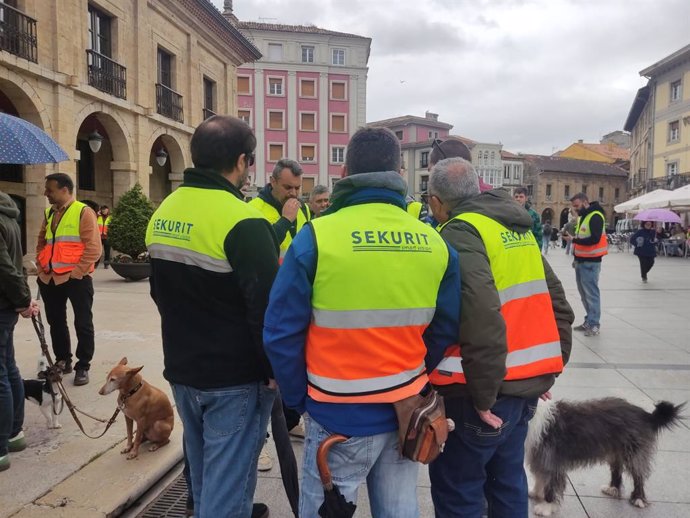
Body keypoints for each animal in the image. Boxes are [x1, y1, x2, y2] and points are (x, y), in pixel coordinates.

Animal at [524, 398, 680, 516]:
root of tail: (646, 415)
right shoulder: (538, 457)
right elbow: (539, 476)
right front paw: (536, 492)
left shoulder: (551, 460)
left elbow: (550, 482)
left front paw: (546, 506)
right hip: (616, 451)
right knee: (617, 470)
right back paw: (613, 488)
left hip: (633, 451)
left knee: (638, 475)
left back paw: (638, 499)